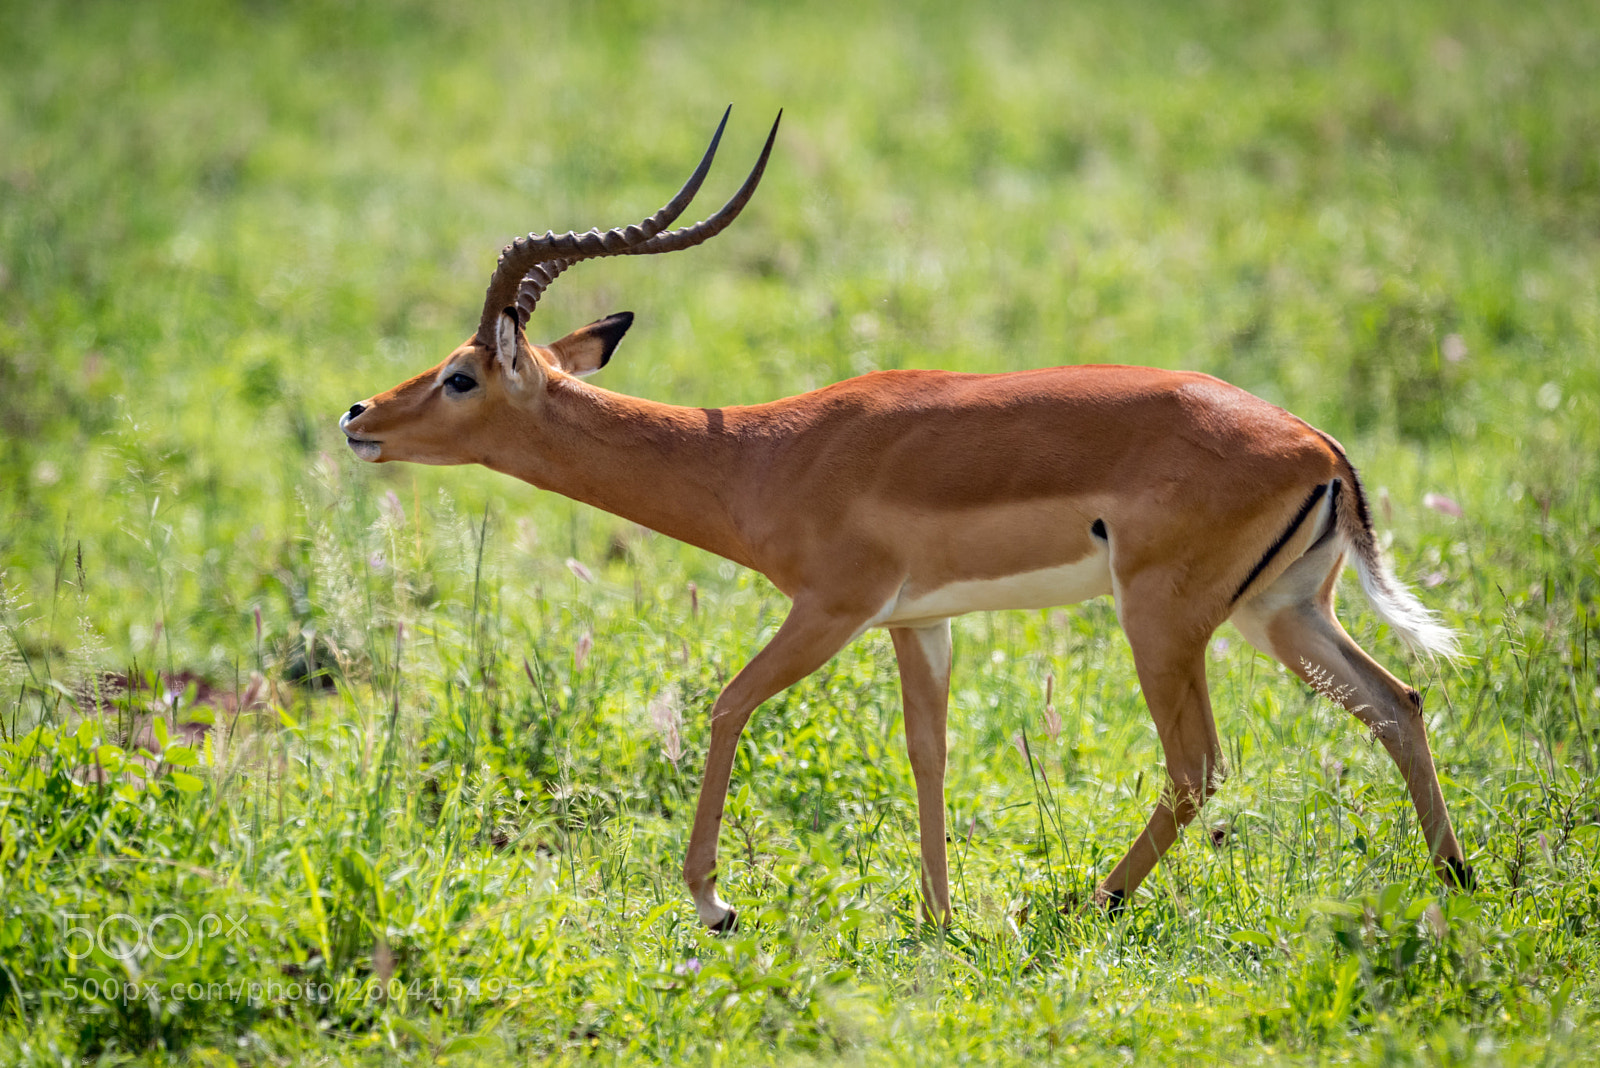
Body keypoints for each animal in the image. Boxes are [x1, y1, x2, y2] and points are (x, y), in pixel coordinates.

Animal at [340, 109, 1473, 929]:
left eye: (460, 375)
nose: (357, 417)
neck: (758, 457)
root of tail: (1318, 447)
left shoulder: (831, 609)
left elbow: (725, 706)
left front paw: (714, 902)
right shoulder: (918, 622)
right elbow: (928, 752)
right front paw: (937, 916)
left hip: (1163, 620)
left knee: (1198, 768)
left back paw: (1089, 902)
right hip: (1280, 614)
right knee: (1398, 703)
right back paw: (1456, 881)